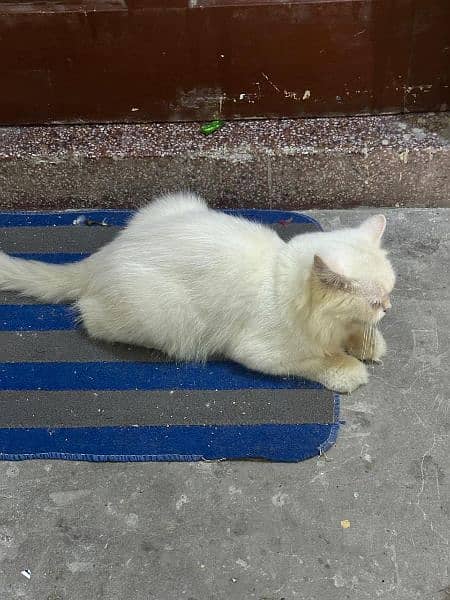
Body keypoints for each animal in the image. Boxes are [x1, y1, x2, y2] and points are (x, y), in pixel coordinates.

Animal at [0, 192, 394, 394]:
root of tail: (105, 254)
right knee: (89, 314)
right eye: (376, 302)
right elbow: (318, 360)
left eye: (391, 292)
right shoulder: (262, 353)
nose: (388, 308)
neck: (277, 278)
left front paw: (367, 343)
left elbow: (356, 335)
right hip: (166, 317)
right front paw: (348, 367)